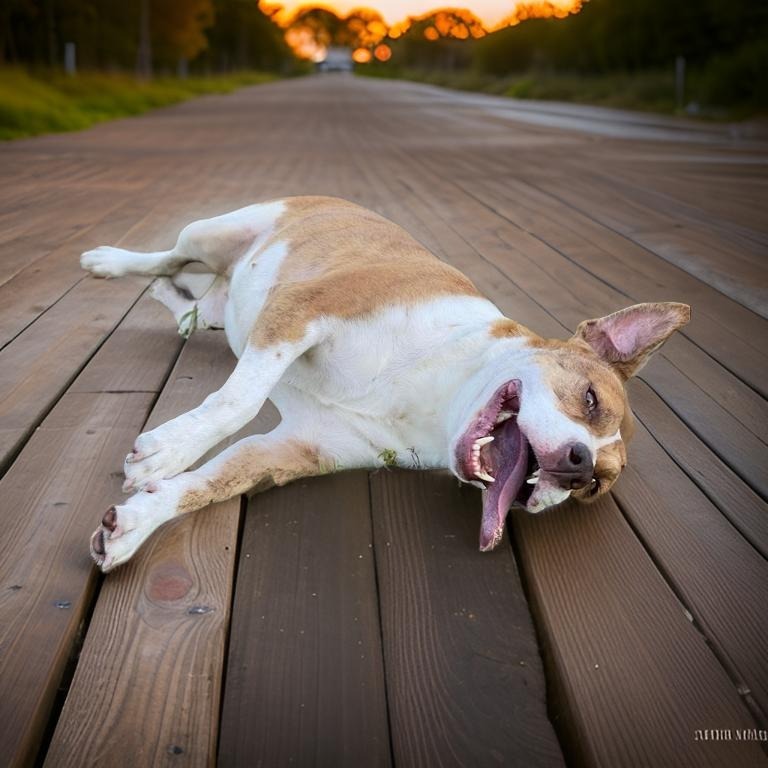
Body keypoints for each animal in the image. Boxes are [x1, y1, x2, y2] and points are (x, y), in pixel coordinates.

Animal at [79, 198, 688, 568]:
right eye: (589, 399)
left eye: (594, 489)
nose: (579, 465)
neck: (436, 400)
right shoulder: (301, 311)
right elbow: (237, 401)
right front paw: (167, 451)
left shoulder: (289, 449)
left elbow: (207, 483)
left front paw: (134, 525)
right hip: (213, 233)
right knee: (166, 258)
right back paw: (110, 261)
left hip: (215, 295)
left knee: (179, 292)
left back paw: (177, 302)